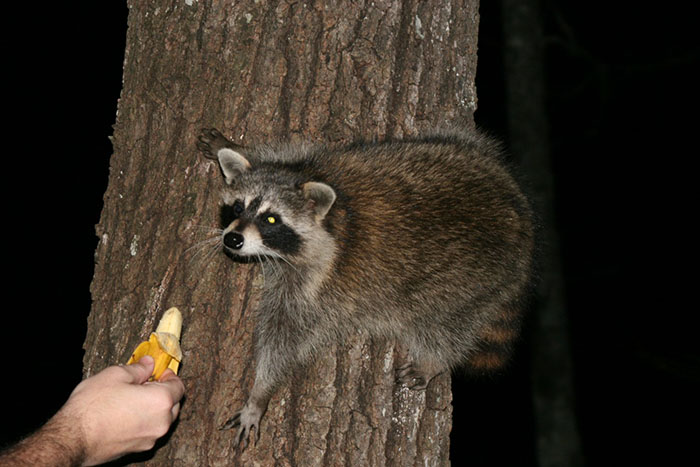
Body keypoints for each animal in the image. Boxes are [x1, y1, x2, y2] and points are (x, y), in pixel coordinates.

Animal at [197, 126, 536, 448]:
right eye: (237, 208)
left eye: (270, 219)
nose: (233, 239)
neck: (329, 215)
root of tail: (524, 221)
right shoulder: (312, 161)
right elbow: (281, 151)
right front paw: (236, 147)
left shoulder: (314, 288)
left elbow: (283, 338)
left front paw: (260, 393)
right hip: (464, 149)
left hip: (469, 282)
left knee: (447, 324)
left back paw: (434, 359)